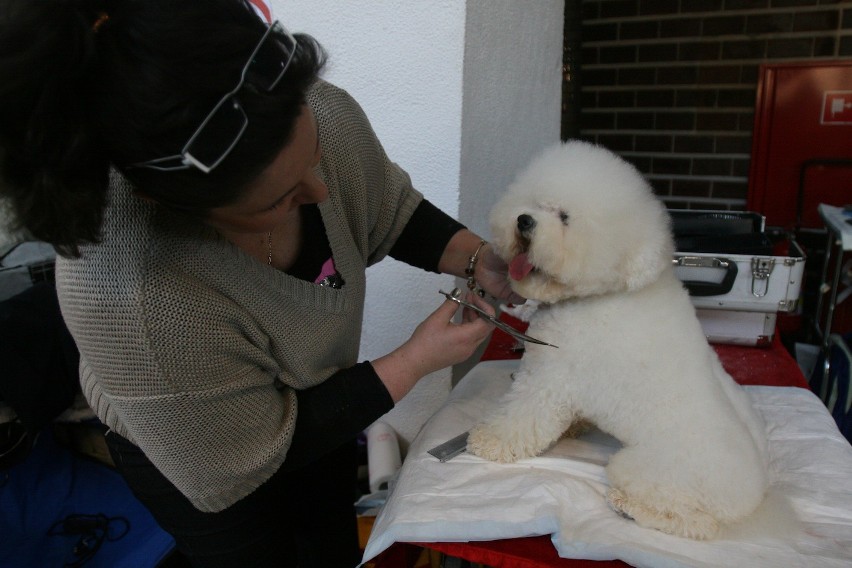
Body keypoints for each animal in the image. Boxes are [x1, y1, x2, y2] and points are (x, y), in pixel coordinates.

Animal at [466, 140, 772, 540]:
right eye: (534, 202)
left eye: (565, 217)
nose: (523, 220)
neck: (602, 292)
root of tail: (751, 497)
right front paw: (574, 425)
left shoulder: (550, 376)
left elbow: (523, 415)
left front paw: (489, 439)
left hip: (646, 470)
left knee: (695, 523)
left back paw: (627, 504)